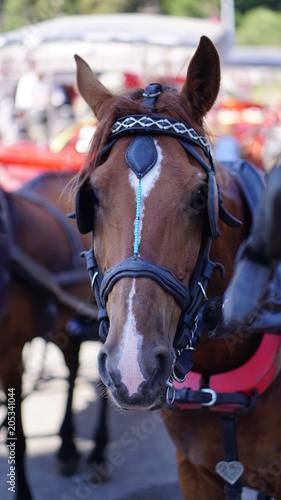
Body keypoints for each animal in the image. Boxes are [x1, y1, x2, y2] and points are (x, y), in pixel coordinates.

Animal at [0, 173, 107, 500]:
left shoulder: (10, 352)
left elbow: (19, 438)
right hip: (60, 321)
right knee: (72, 367)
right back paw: (68, 446)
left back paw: (98, 453)